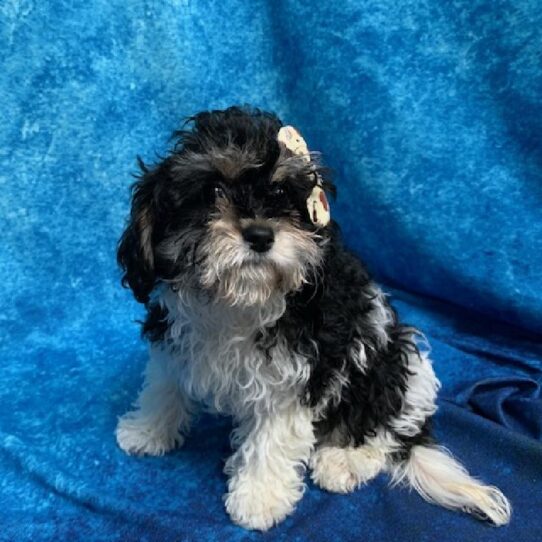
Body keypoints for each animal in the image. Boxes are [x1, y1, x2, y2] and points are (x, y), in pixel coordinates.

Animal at [117, 105, 512, 532]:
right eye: (214, 191)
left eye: (281, 194)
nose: (261, 235)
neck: (238, 300)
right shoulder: (175, 333)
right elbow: (165, 383)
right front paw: (147, 430)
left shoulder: (296, 371)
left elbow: (272, 434)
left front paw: (258, 498)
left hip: (387, 361)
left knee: (384, 427)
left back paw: (344, 461)